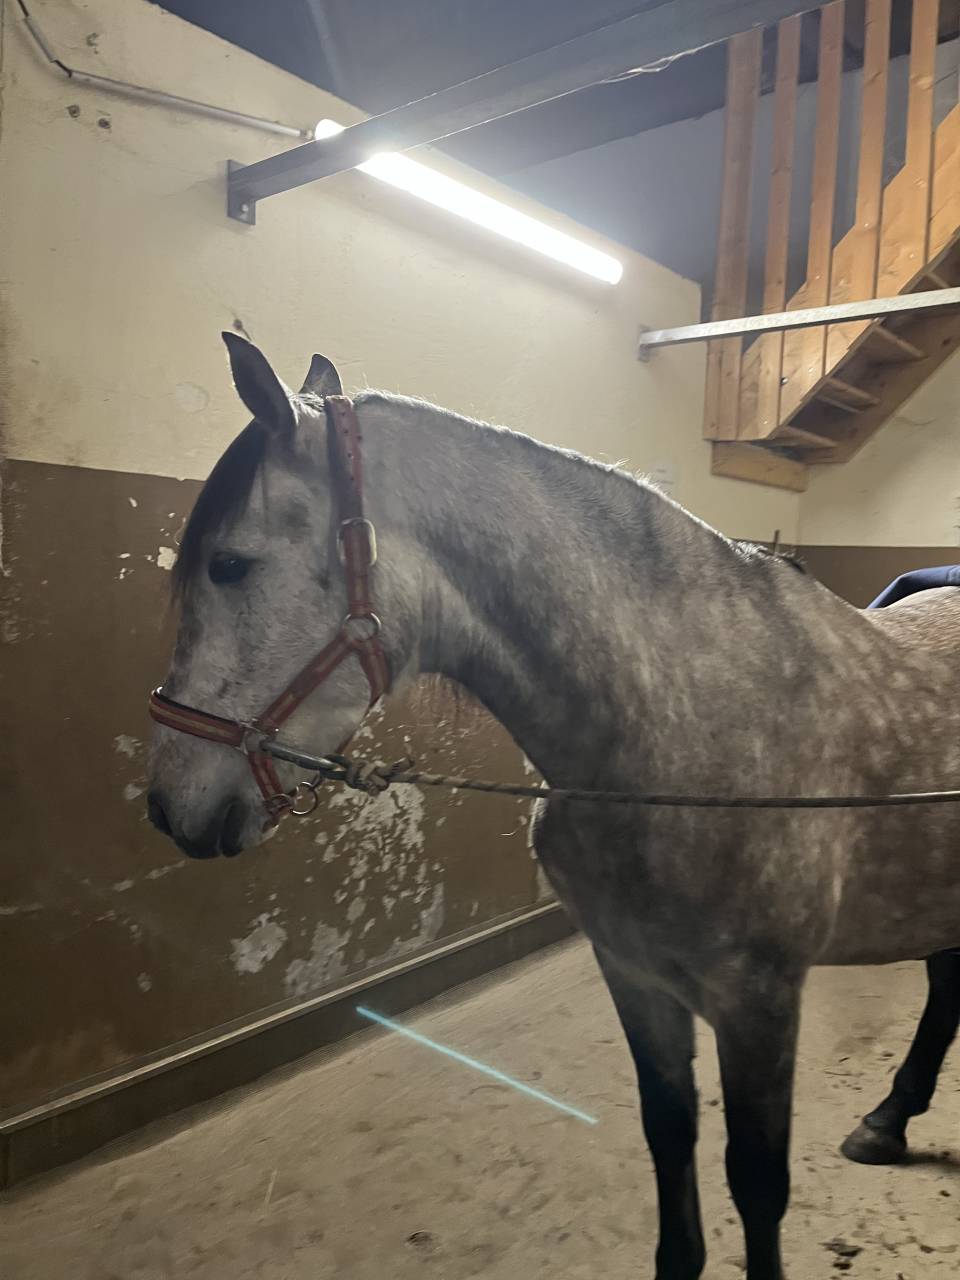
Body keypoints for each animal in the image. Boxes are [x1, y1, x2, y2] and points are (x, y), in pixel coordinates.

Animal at [147, 334, 960, 1280]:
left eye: (230, 563)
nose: (169, 803)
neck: (686, 719)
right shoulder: (635, 975)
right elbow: (669, 1137)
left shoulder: (760, 1001)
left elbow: (757, 1183)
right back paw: (888, 1120)